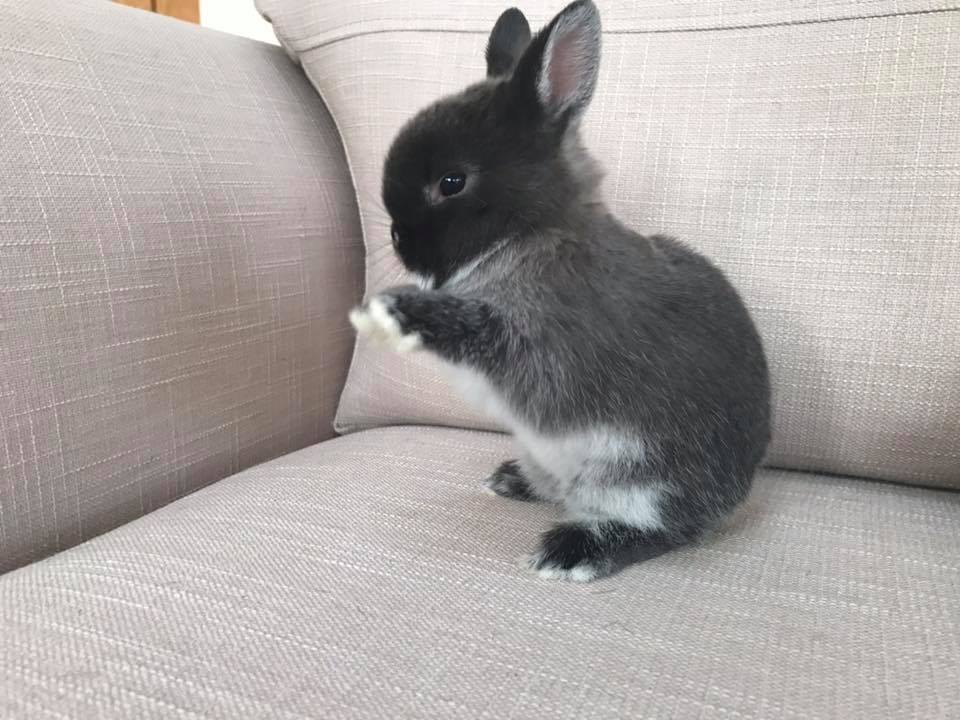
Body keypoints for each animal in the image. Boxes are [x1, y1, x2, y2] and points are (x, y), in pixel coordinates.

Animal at [350, 0, 771, 582]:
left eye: (452, 182)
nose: (398, 241)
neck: (531, 232)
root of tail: (737, 493)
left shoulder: (546, 350)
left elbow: (480, 335)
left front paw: (391, 315)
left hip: (642, 481)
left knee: (664, 531)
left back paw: (570, 551)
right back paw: (512, 481)